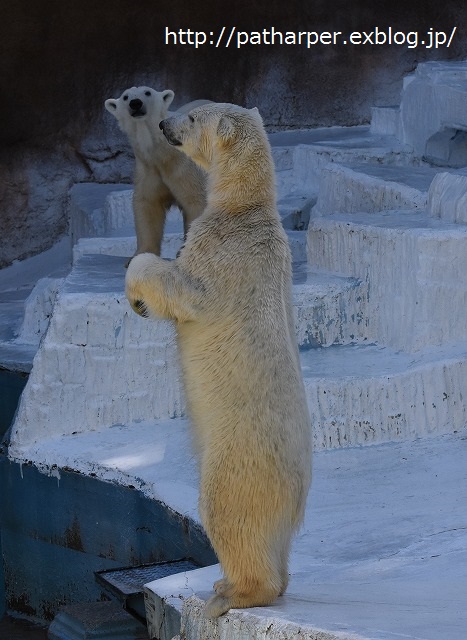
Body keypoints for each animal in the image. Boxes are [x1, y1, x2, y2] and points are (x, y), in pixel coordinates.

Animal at [107, 86, 209, 258]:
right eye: (126, 97)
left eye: (147, 92)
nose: (136, 103)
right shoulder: (149, 170)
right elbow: (148, 206)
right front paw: (140, 255)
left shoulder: (186, 169)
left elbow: (196, 201)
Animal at [126, 102, 312, 616]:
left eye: (189, 117)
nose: (163, 124)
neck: (247, 208)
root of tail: (295, 497)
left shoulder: (220, 249)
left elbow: (182, 287)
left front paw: (137, 293)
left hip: (239, 457)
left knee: (228, 511)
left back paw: (232, 592)